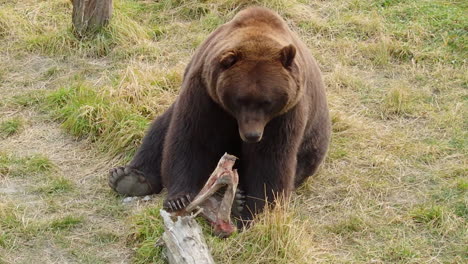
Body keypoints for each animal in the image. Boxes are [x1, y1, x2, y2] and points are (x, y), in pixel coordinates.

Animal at [108, 6, 330, 223]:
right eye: (240, 99)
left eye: (267, 102)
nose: (252, 135)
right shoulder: (206, 94)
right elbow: (192, 138)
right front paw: (179, 198)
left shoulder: (285, 113)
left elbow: (271, 158)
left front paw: (254, 212)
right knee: (160, 131)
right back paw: (128, 178)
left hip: (312, 145)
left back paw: (237, 200)